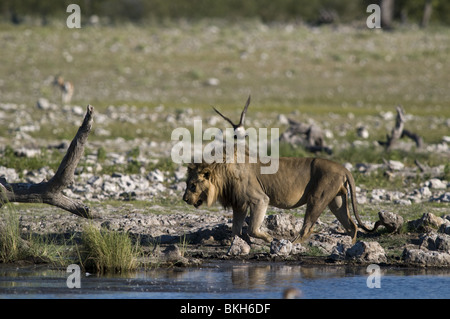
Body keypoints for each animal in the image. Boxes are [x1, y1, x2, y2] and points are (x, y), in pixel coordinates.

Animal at [183, 158, 376, 245]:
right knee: (352, 225)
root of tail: (344, 168)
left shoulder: (260, 199)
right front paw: (242, 243)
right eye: (187, 184)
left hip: (317, 198)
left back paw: (292, 244)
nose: (184, 199)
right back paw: (350, 245)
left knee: (307, 227)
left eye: (192, 185)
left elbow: (253, 228)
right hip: (336, 201)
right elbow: (236, 229)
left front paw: (269, 239)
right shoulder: (239, 204)